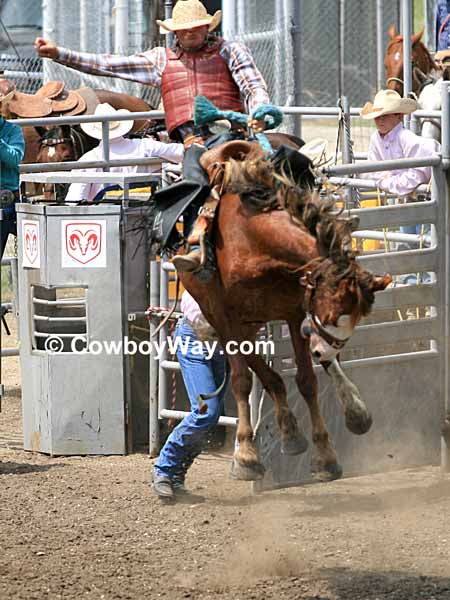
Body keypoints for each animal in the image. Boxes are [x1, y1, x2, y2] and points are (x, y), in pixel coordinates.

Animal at [177, 138, 390, 480]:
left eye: (357, 318)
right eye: (334, 313)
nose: (325, 350)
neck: (253, 240)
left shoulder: (295, 313)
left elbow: (307, 381)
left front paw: (326, 456)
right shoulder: (227, 318)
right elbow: (242, 380)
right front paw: (247, 456)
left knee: (297, 373)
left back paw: (350, 413)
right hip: (231, 323)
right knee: (266, 375)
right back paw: (289, 431)